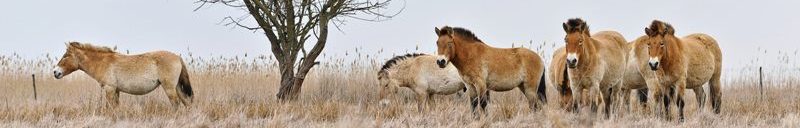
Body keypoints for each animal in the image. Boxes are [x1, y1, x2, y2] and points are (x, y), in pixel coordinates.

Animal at [53, 41, 194, 108]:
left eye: (65, 56)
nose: (55, 72)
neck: (103, 62)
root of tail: (177, 57)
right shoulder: (116, 90)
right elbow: (116, 107)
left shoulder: (109, 89)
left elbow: (110, 108)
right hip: (176, 87)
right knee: (186, 103)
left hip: (169, 87)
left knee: (176, 104)